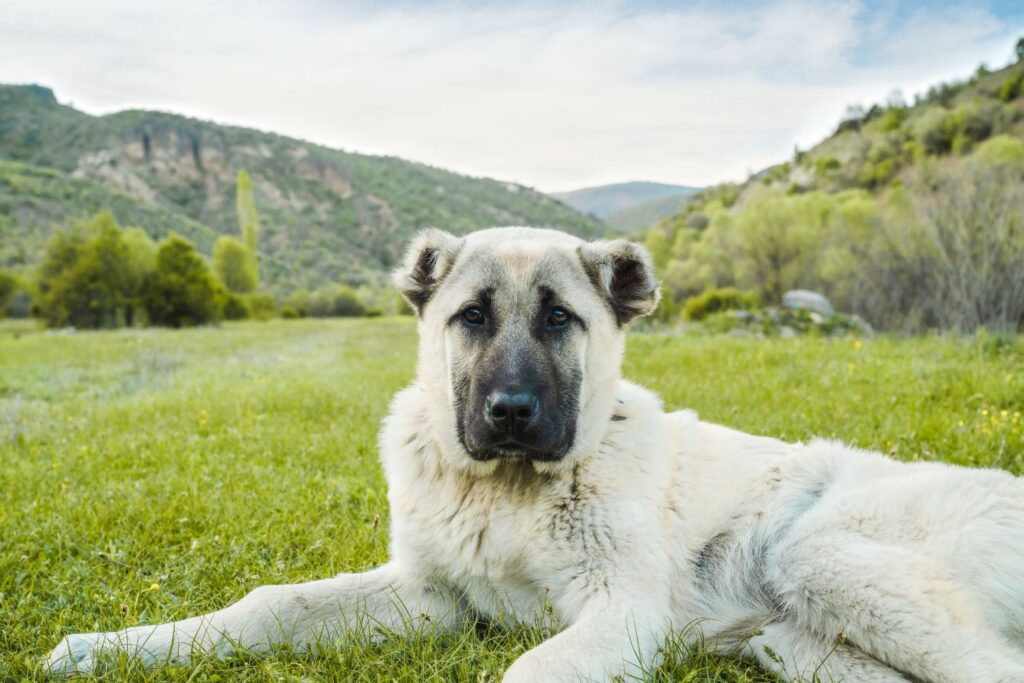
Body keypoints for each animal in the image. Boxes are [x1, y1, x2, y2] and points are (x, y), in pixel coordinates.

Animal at [49, 227, 1024, 679]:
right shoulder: (430, 595)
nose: (511, 411)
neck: (508, 491)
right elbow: (268, 603)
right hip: (798, 640)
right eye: (472, 316)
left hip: (818, 553)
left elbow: (531, 664)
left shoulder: (624, 611)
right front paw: (116, 646)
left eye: (560, 318)